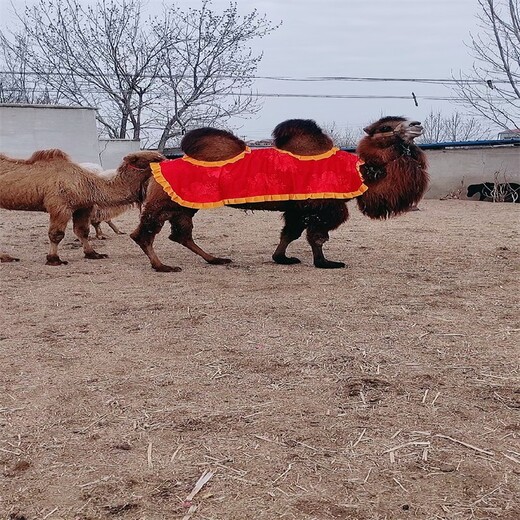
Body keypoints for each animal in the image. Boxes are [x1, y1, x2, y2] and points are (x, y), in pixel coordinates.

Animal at [0, 149, 166, 264]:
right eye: (155, 159)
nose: (167, 161)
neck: (87, 184)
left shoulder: (83, 207)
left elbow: (82, 231)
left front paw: (93, 254)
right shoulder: (60, 206)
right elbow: (56, 234)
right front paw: (54, 259)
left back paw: (6, 257)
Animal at [132, 117, 428, 272]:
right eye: (386, 127)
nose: (417, 123)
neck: (360, 170)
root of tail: (158, 164)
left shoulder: (297, 209)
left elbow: (290, 233)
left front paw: (282, 258)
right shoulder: (322, 206)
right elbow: (317, 237)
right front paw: (325, 263)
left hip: (184, 203)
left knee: (180, 234)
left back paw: (215, 259)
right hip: (164, 200)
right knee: (144, 233)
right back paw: (162, 266)